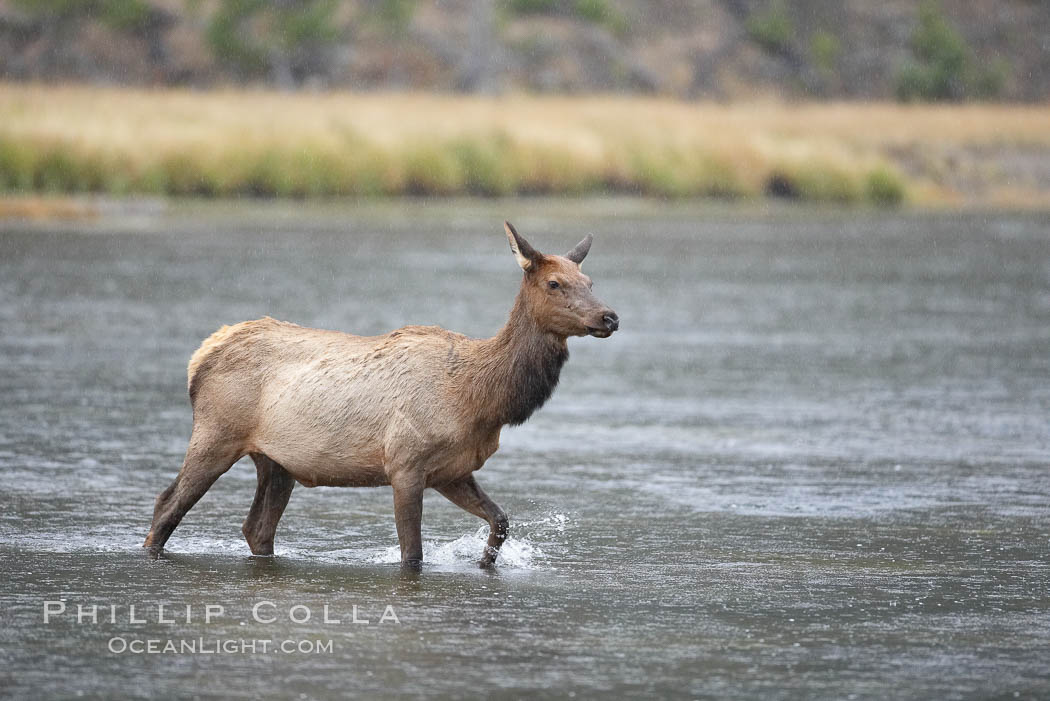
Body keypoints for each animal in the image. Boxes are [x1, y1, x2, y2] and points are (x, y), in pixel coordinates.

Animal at [140, 221, 613, 566]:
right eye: (554, 283)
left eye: (589, 280)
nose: (609, 316)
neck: (479, 399)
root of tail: (200, 355)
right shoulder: (404, 462)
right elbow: (413, 555)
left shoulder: (453, 469)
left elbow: (500, 521)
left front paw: (484, 564)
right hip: (216, 434)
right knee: (166, 506)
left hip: (275, 461)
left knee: (257, 528)